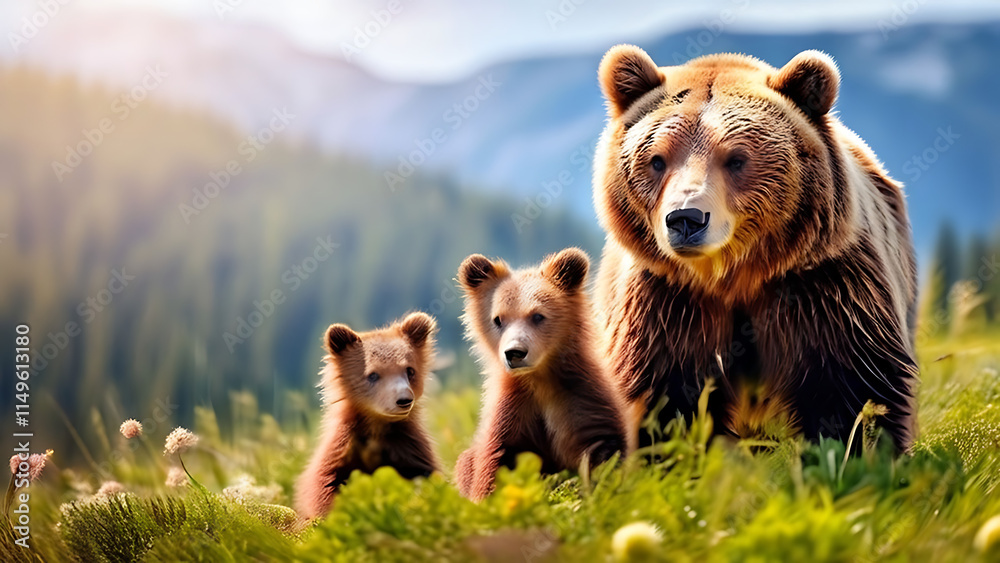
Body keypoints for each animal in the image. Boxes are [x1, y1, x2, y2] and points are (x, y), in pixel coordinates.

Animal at [295, 312, 442, 519]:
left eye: (410, 370)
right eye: (373, 375)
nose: (404, 400)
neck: (376, 426)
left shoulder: (407, 446)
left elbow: (427, 475)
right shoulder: (342, 448)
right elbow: (325, 485)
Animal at [454, 248, 633, 500]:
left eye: (538, 315)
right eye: (498, 319)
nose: (514, 352)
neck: (539, 378)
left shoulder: (579, 398)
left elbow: (602, 449)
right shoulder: (513, 411)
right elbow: (498, 461)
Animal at [592, 45, 918, 451]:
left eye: (736, 158)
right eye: (656, 160)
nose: (686, 218)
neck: (733, 276)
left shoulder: (827, 287)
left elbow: (853, 388)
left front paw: (854, 451)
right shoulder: (665, 301)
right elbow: (664, 396)